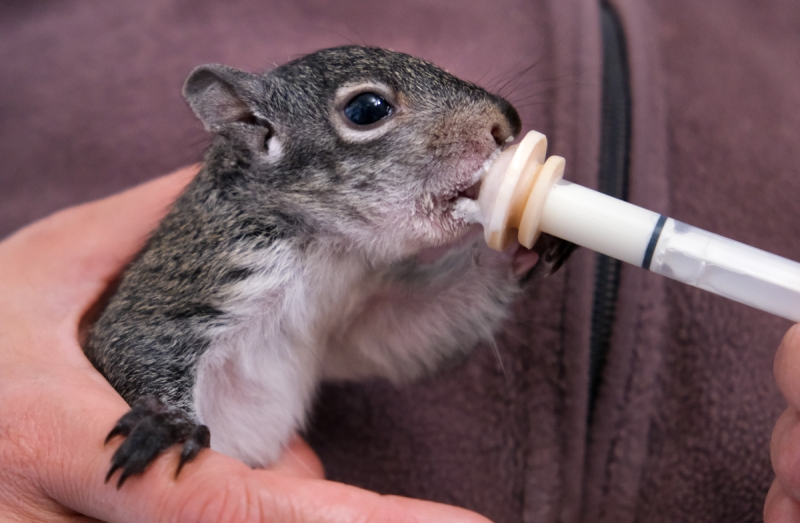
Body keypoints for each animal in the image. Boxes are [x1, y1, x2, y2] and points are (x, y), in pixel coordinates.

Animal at [84, 45, 575, 487]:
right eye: (366, 109)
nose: (507, 121)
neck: (326, 251)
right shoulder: (209, 271)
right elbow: (136, 339)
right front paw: (166, 423)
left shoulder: (354, 320)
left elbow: (415, 325)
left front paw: (525, 242)